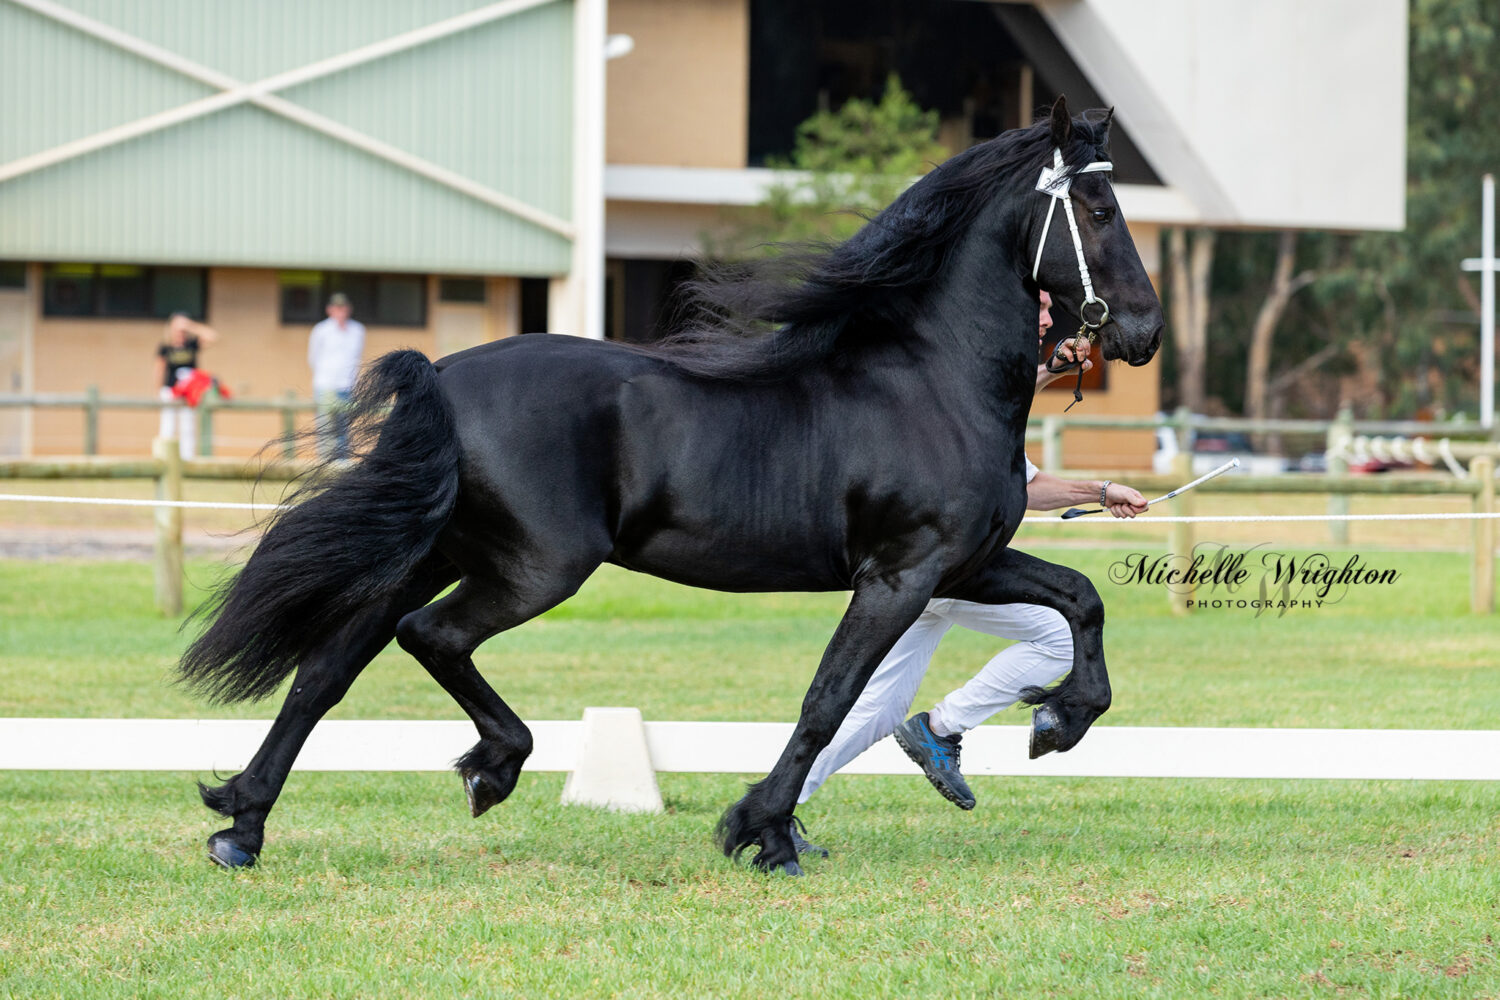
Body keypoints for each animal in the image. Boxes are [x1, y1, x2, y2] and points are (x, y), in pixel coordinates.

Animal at [175, 97, 1158, 869]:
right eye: (1099, 207)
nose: (1143, 332)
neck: (933, 381)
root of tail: (447, 376)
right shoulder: (900, 575)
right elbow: (829, 699)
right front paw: (763, 832)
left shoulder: (964, 566)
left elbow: (1081, 597)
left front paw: (1059, 722)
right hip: (537, 568)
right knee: (429, 637)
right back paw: (492, 766)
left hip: (438, 551)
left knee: (327, 669)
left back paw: (241, 824)